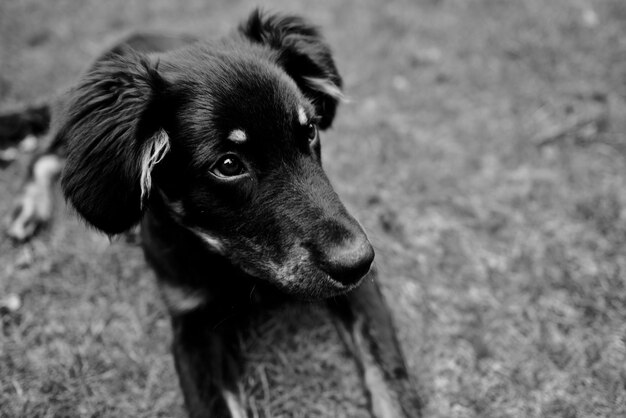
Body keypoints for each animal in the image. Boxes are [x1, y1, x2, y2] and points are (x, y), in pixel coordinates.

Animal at [0, 10, 422, 418]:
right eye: (229, 164)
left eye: (310, 131)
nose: (358, 261)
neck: (232, 263)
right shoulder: (192, 326)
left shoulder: (363, 291)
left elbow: (390, 380)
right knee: (48, 155)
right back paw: (27, 211)